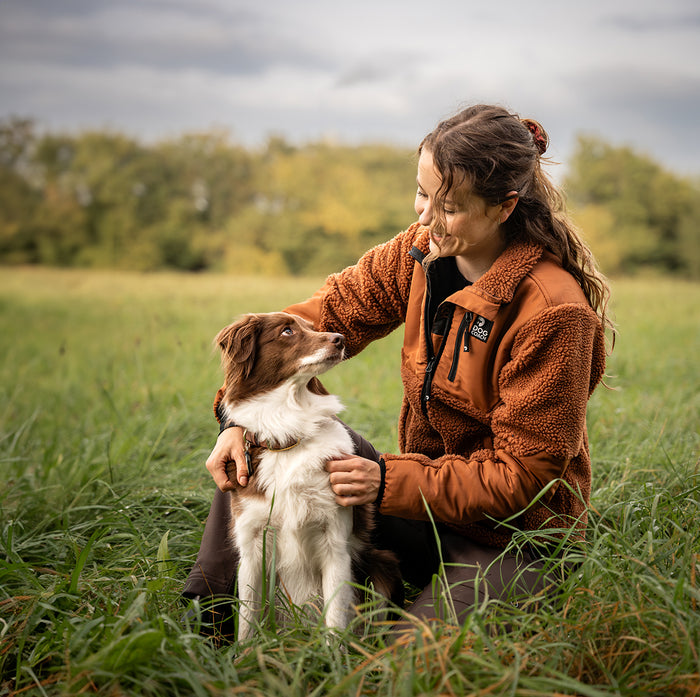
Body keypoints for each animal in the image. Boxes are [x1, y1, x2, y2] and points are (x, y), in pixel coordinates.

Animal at [213, 312, 402, 640]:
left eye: (314, 327)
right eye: (287, 331)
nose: (340, 339)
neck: (288, 433)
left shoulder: (336, 545)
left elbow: (335, 620)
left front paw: (332, 654)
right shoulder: (251, 547)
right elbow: (247, 621)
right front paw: (243, 653)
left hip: (383, 564)